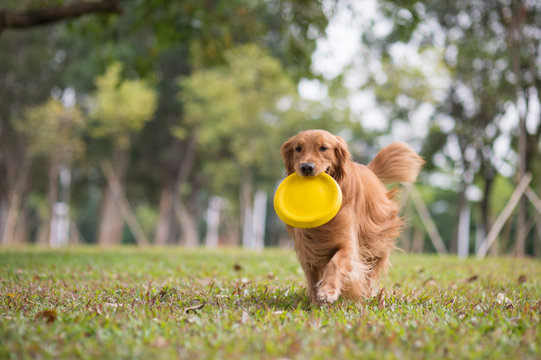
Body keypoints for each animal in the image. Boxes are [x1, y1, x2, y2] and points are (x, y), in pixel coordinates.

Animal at [280, 129, 424, 304]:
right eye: (298, 148)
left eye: (323, 148)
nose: (306, 167)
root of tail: (370, 170)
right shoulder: (307, 247)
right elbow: (312, 275)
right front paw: (315, 302)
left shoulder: (348, 243)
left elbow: (336, 263)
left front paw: (328, 291)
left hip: (376, 240)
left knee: (371, 270)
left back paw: (366, 294)